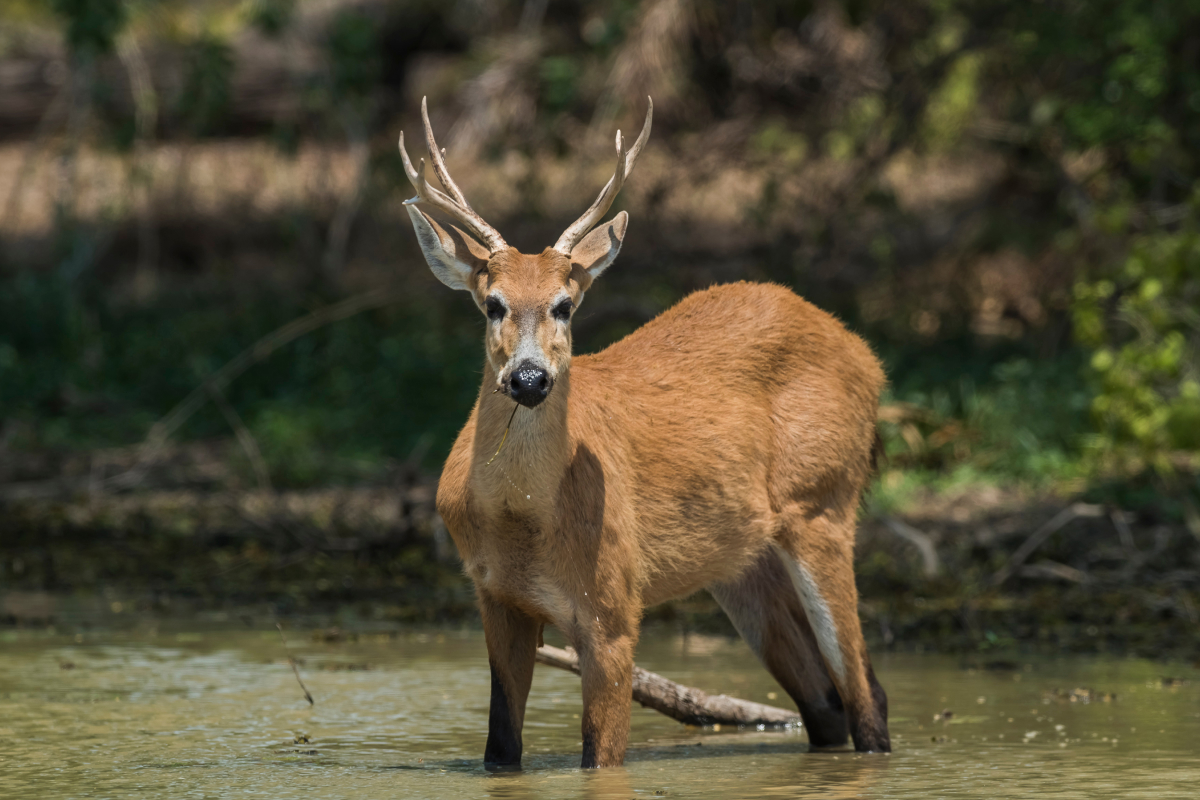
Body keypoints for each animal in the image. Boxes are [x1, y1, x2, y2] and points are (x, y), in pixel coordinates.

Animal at [398, 97, 891, 769]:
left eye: (565, 305)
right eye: (492, 303)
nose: (529, 378)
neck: (522, 521)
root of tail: (868, 359)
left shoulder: (613, 606)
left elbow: (599, 758)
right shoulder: (494, 598)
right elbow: (501, 748)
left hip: (824, 503)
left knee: (866, 695)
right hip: (740, 560)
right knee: (828, 702)